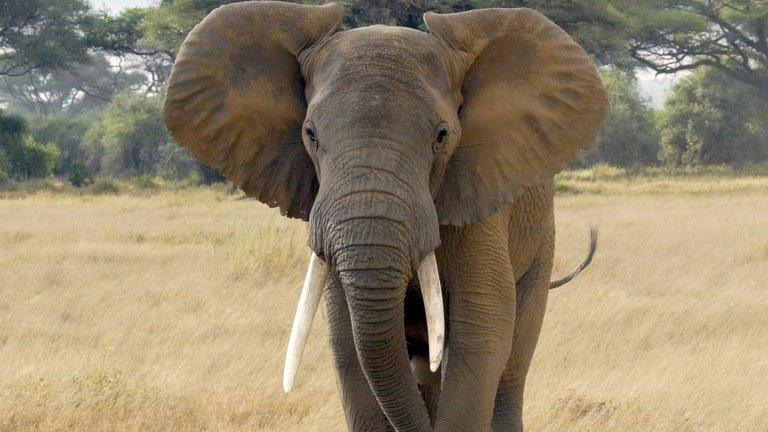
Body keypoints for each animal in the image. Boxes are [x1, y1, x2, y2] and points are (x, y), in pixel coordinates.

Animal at [162, 1, 608, 430]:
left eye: (442, 136)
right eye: (310, 134)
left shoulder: (479, 207)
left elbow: (481, 338)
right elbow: (349, 349)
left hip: (540, 246)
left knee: (510, 370)